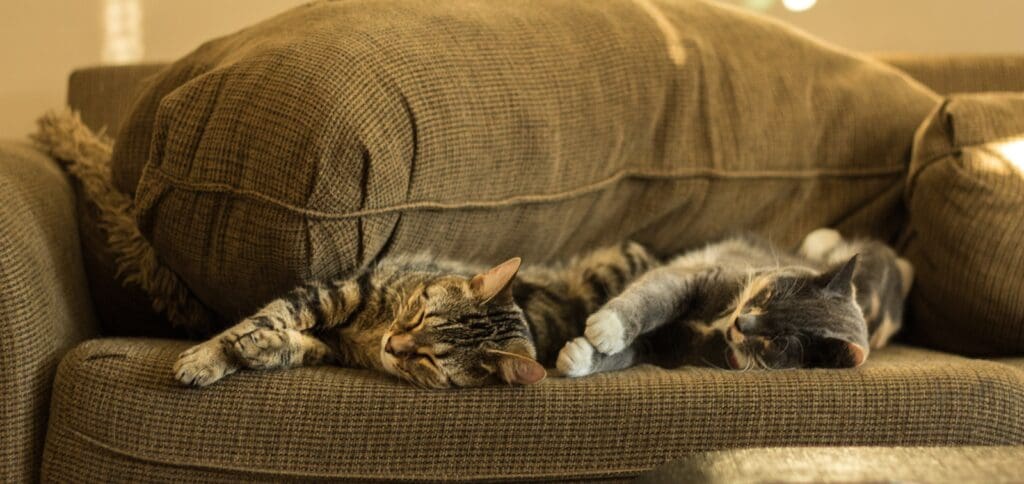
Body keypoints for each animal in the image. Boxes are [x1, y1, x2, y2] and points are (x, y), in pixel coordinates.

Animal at [174, 241, 655, 388]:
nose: (393, 344)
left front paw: (256, 350)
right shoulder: (336, 292)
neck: (371, 334)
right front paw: (210, 355)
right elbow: (266, 316)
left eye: (428, 360)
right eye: (422, 314)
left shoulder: (331, 346)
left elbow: (293, 345)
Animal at [557, 228, 917, 374]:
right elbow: (650, 299)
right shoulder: (692, 277)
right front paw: (606, 329)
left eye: (778, 343)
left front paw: (581, 355)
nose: (742, 323)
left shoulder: (669, 348)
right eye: (771, 295)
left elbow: (629, 355)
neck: (718, 323)